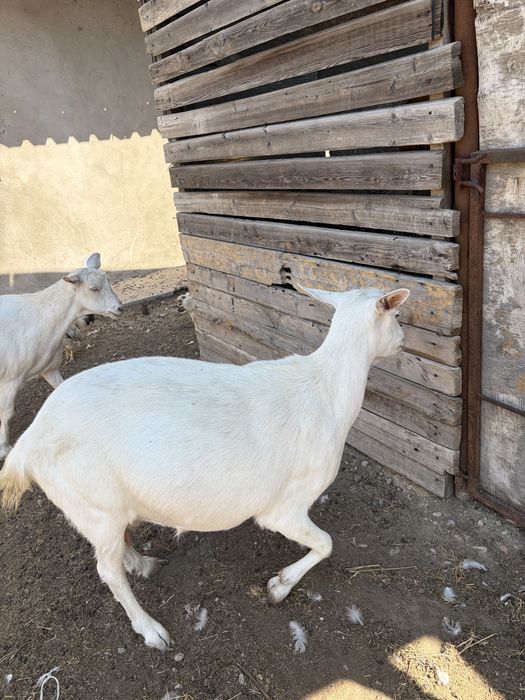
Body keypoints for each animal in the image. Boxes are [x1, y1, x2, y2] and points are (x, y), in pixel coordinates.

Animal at [0, 253, 123, 459]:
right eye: (93, 288)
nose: (120, 308)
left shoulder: (48, 368)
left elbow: (60, 387)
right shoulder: (10, 379)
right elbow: (6, 413)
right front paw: (4, 448)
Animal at [0, 285, 409, 650]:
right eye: (397, 316)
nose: (404, 341)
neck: (328, 390)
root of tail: (29, 443)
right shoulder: (286, 507)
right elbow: (325, 544)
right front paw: (279, 586)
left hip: (101, 508)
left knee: (115, 548)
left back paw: (144, 565)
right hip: (94, 501)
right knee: (108, 571)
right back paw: (152, 631)